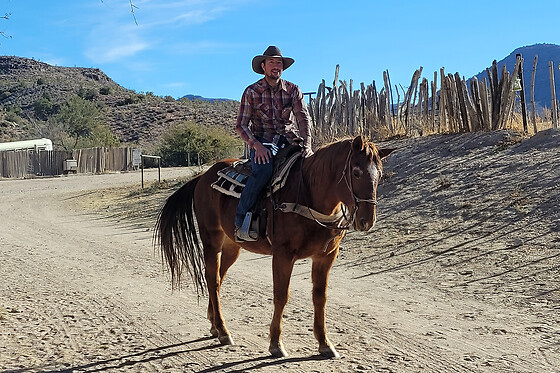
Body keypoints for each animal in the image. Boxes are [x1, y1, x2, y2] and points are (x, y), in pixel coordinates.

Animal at [156, 134, 394, 358]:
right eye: (356, 172)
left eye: (380, 175)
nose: (366, 221)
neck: (309, 195)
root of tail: (203, 177)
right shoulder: (283, 255)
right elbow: (281, 296)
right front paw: (276, 344)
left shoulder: (326, 256)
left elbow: (320, 296)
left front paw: (325, 344)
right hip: (211, 239)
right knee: (213, 279)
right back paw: (223, 331)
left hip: (232, 245)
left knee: (218, 276)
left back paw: (214, 323)